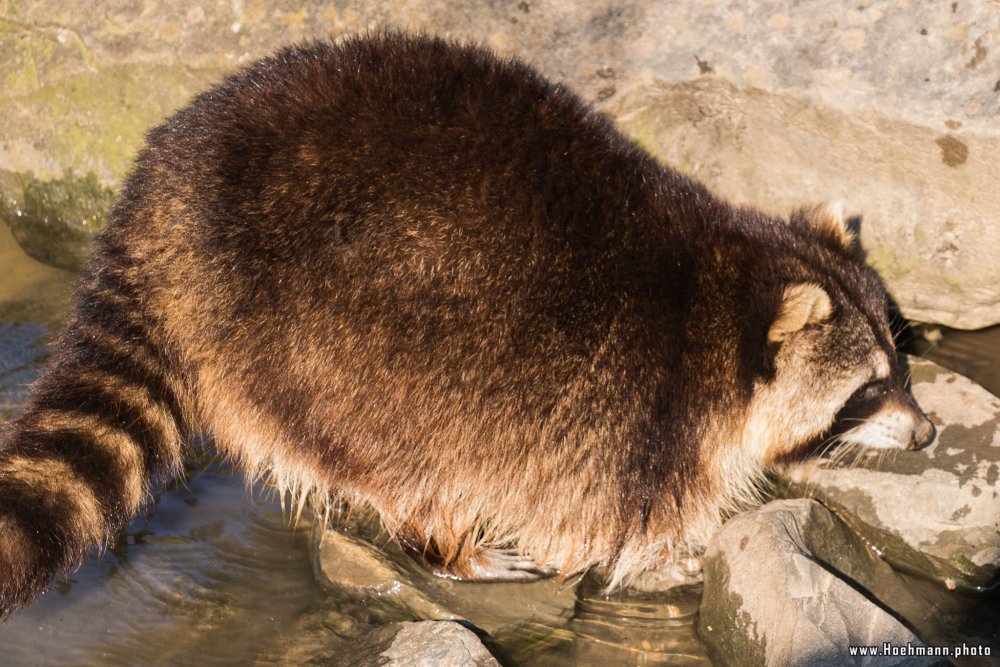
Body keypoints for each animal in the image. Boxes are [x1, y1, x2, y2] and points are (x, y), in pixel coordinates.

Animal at [0, 32, 928, 616]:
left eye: (902, 361)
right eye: (869, 386)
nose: (925, 432)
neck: (723, 291)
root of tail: (158, 210)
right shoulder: (626, 412)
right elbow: (603, 519)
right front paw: (670, 560)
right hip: (315, 339)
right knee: (410, 452)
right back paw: (446, 542)